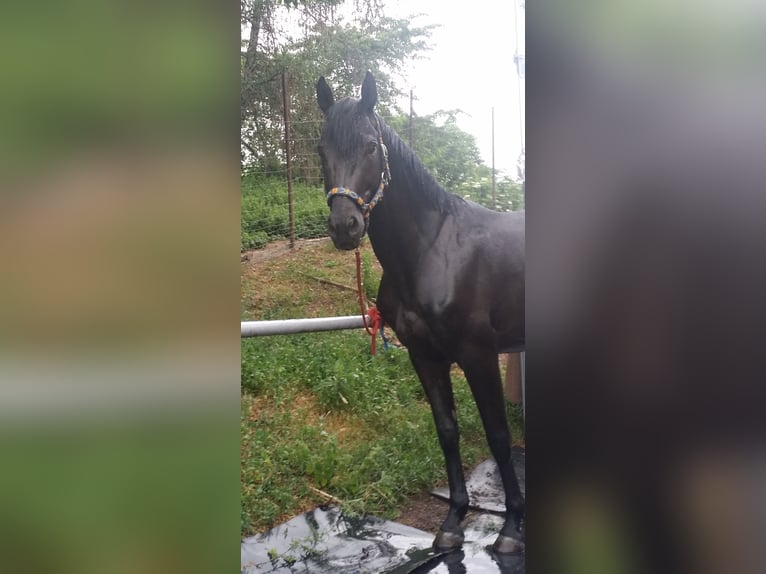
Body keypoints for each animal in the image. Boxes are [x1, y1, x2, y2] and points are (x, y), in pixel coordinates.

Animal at [316, 71, 525, 554]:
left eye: (370, 146)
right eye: (320, 150)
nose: (344, 227)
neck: (434, 249)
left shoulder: (479, 355)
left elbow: (499, 435)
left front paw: (510, 528)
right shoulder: (424, 356)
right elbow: (447, 430)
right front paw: (452, 522)